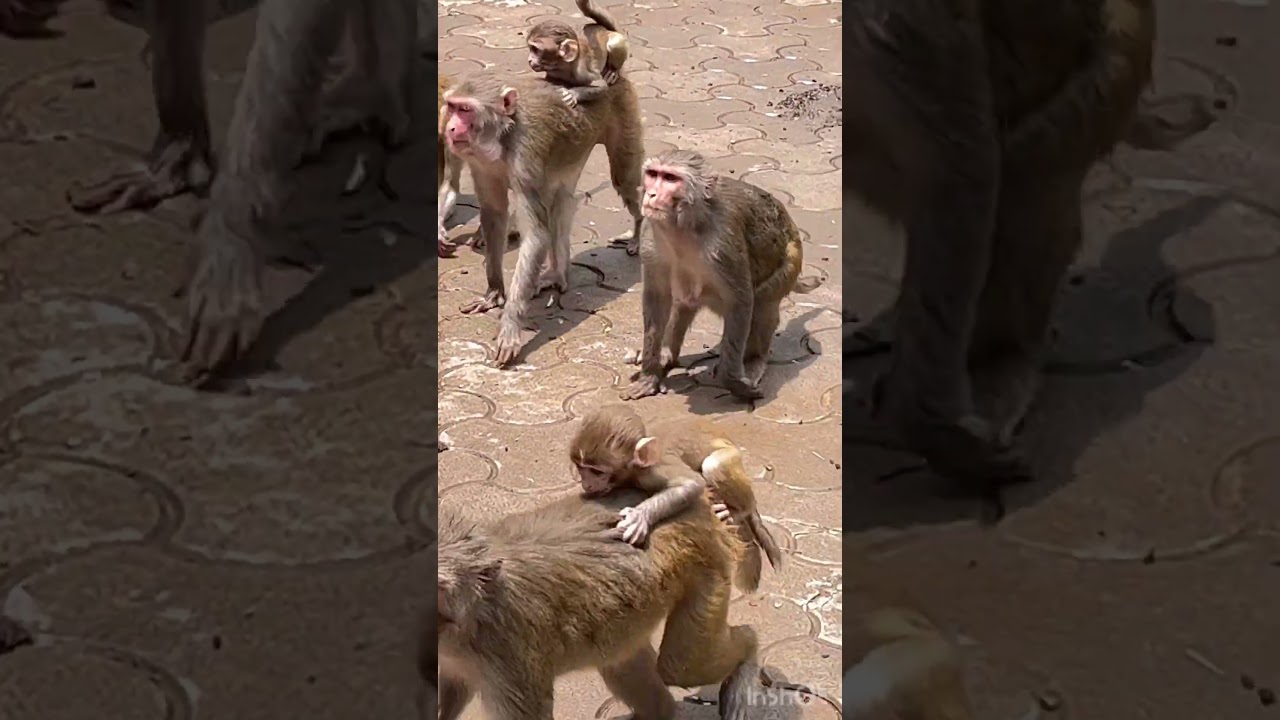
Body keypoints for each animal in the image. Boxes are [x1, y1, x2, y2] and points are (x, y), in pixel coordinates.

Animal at [436, 491, 759, 720]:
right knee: (623, 663)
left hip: (708, 570)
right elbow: (453, 686)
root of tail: (700, 509)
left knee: (682, 665)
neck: (473, 620)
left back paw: (749, 654)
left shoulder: (509, 657)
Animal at [442, 71, 646, 367]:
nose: (450, 128)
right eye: (452, 107)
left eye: (466, 110)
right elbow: (494, 214)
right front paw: (494, 293)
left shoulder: (525, 157)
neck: (503, 137)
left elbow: (536, 236)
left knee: (625, 180)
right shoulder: (480, 162)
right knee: (559, 202)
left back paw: (639, 234)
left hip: (623, 111)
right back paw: (557, 276)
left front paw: (510, 326)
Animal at [571, 404, 784, 593]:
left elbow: (692, 483)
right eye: (581, 468)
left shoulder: (653, 470)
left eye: (597, 472)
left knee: (712, 465)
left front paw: (640, 517)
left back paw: (738, 511)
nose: (587, 484)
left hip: (732, 458)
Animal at [623, 149, 823, 402]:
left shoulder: (723, 244)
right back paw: (668, 353)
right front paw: (649, 375)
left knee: (762, 303)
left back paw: (754, 361)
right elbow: (657, 299)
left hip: (790, 263)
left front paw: (733, 381)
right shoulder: (650, 234)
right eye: (653, 174)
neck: (686, 224)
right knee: (684, 299)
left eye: (670, 178)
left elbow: (741, 301)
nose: (651, 194)